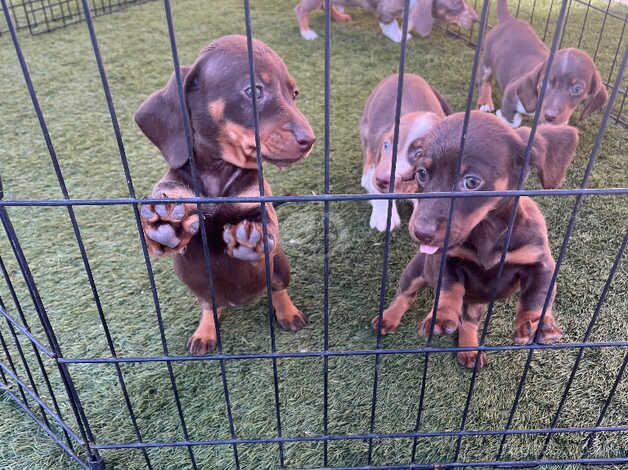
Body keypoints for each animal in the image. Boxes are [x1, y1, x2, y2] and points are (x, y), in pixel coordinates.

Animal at [136, 35, 316, 352]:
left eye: (294, 93)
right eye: (253, 90)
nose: (310, 140)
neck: (218, 174)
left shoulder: (256, 199)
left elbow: (266, 223)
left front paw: (252, 237)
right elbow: (168, 193)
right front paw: (164, 222)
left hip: (280, 266)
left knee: (277, 288)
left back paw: (287, 312)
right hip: (200, 288)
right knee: (209, 304)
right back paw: (207, 329)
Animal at [372, 111, 580, 368]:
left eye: (471, 182)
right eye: (422, 174)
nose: (421, 232)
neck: (486, 230)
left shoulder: (540, 263)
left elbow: (536, 297)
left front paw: (535, 323)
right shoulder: (447, 260)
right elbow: (449, 287)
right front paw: (440, 315)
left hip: (476, 304)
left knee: (469, 322)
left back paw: (469, 348)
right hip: (416, 270)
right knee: (405, 294)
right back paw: (389, 318)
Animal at [476, 0, 608, 127]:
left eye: (577, 89)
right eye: (544, 83)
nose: (549, 116)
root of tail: (509, 20)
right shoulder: (511, 93)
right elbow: (510, 121)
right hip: (487, 61)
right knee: (485, 80)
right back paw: (485, 102)